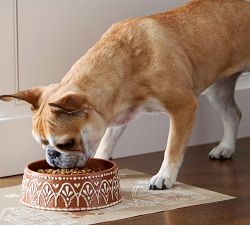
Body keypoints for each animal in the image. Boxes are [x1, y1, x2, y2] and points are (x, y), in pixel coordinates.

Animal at [0, 0, 250, 190]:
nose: (52, 154)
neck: (129, 64)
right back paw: (226, 147)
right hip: (217, 89)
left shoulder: (183, 108)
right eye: (42, 143)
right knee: (232, 114)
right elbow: (108, 140)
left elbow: (173, 147)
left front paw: (165, 176)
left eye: (67, 143)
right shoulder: (117, 115)